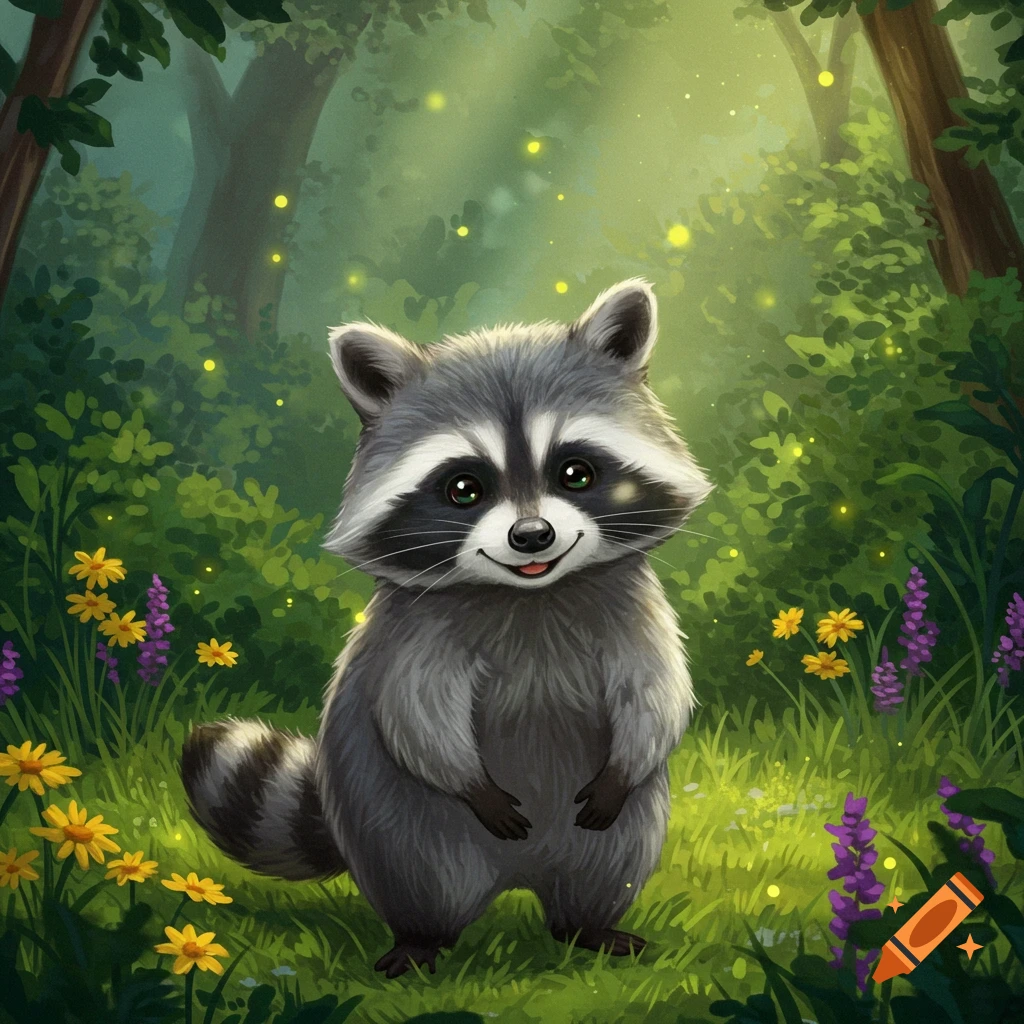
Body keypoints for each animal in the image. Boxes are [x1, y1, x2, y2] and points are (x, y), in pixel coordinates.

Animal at [181, 278, 712, 978]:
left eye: (576, 472)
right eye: (464, 488)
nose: (532, 536)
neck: (528, 594)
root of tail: (518, 876)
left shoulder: (632, 607)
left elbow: (656, 692)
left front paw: (629, 762)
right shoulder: (415, 631)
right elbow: (413, 711)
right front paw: (468, 782)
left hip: (619, 830)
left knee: (610, 861)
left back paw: (589, 924)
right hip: (394, 821)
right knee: (421, 874)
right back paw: (420, 938)